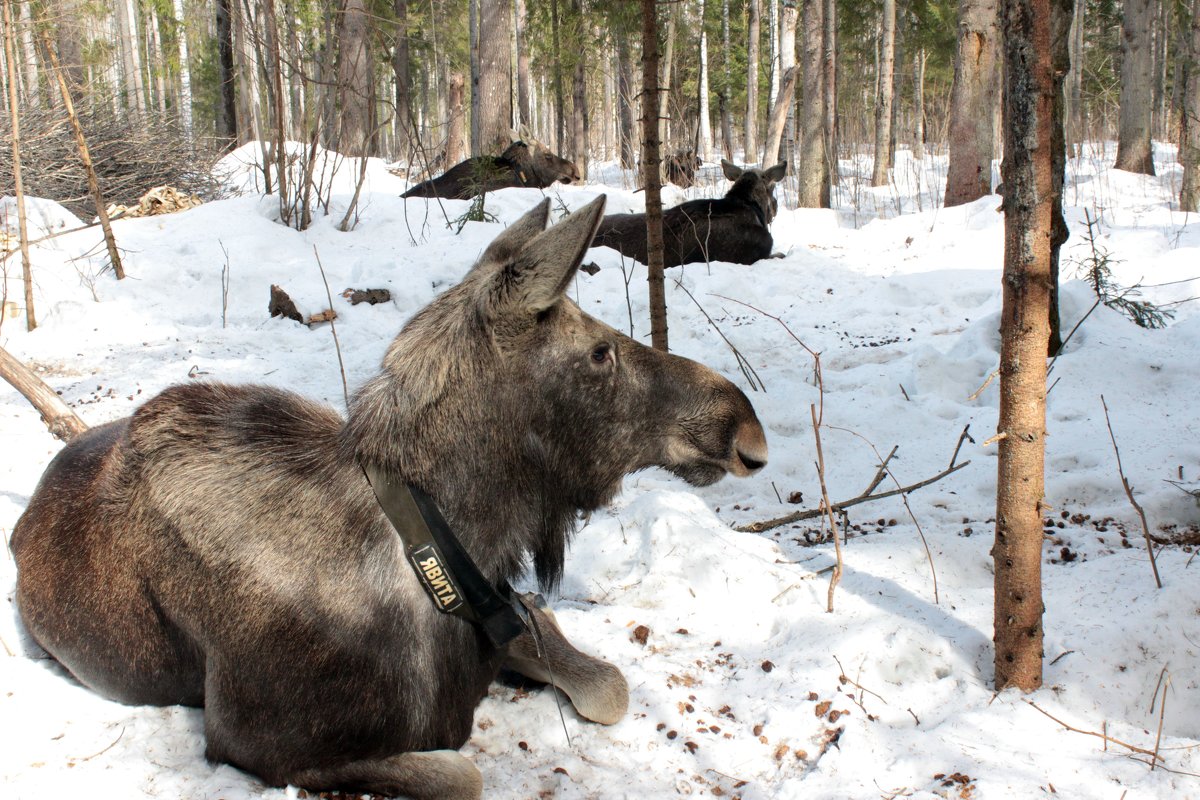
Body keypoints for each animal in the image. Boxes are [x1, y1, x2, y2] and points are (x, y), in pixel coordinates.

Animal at [11, 195, 768, 800]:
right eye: (600, 354)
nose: (744, 428)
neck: (438, 556)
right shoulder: (256, 741)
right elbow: (463, 774)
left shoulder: (503, 615)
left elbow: (607, 683)